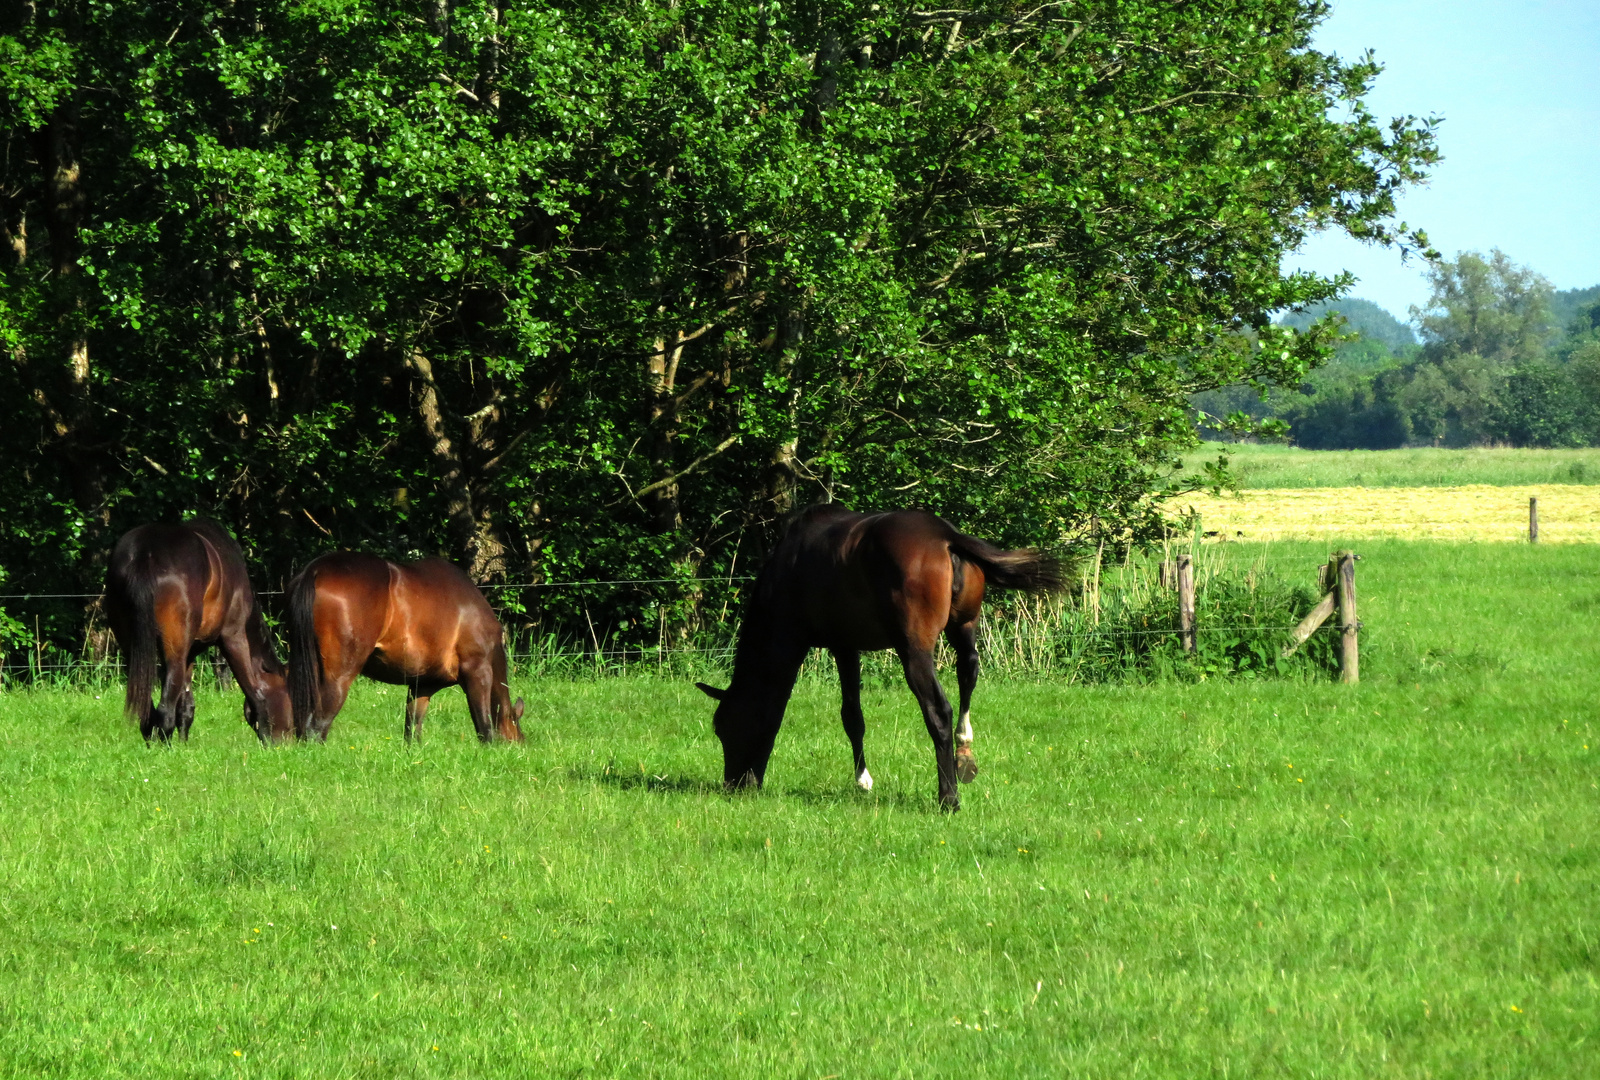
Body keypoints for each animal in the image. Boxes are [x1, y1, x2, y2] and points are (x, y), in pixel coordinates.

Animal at [104, 521, 296, 742]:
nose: (287, 741)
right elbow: (254, 691)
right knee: (165, 709)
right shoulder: (234, 637)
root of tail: (146, 552)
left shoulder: (189, 654)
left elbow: (186, 705)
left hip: (133, 647)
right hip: (175, 649)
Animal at [291, 556, 528, 742]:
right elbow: (485, 726)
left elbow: (412, 730)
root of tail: (316, 570)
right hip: (339, 676)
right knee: (317, 726)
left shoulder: (422, 685)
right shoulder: (478, 672)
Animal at [691, 505, 1056, 812]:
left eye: (726, 728)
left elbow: (852, 715)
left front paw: (862, 781)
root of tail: (945, 536)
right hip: (964, 627)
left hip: (914, 651)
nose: (734, 786)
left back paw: (948, 798)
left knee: (939, 712)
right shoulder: (848, 645)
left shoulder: (842, 646)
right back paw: (963, 753)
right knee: (969, 672)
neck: (793, 567)